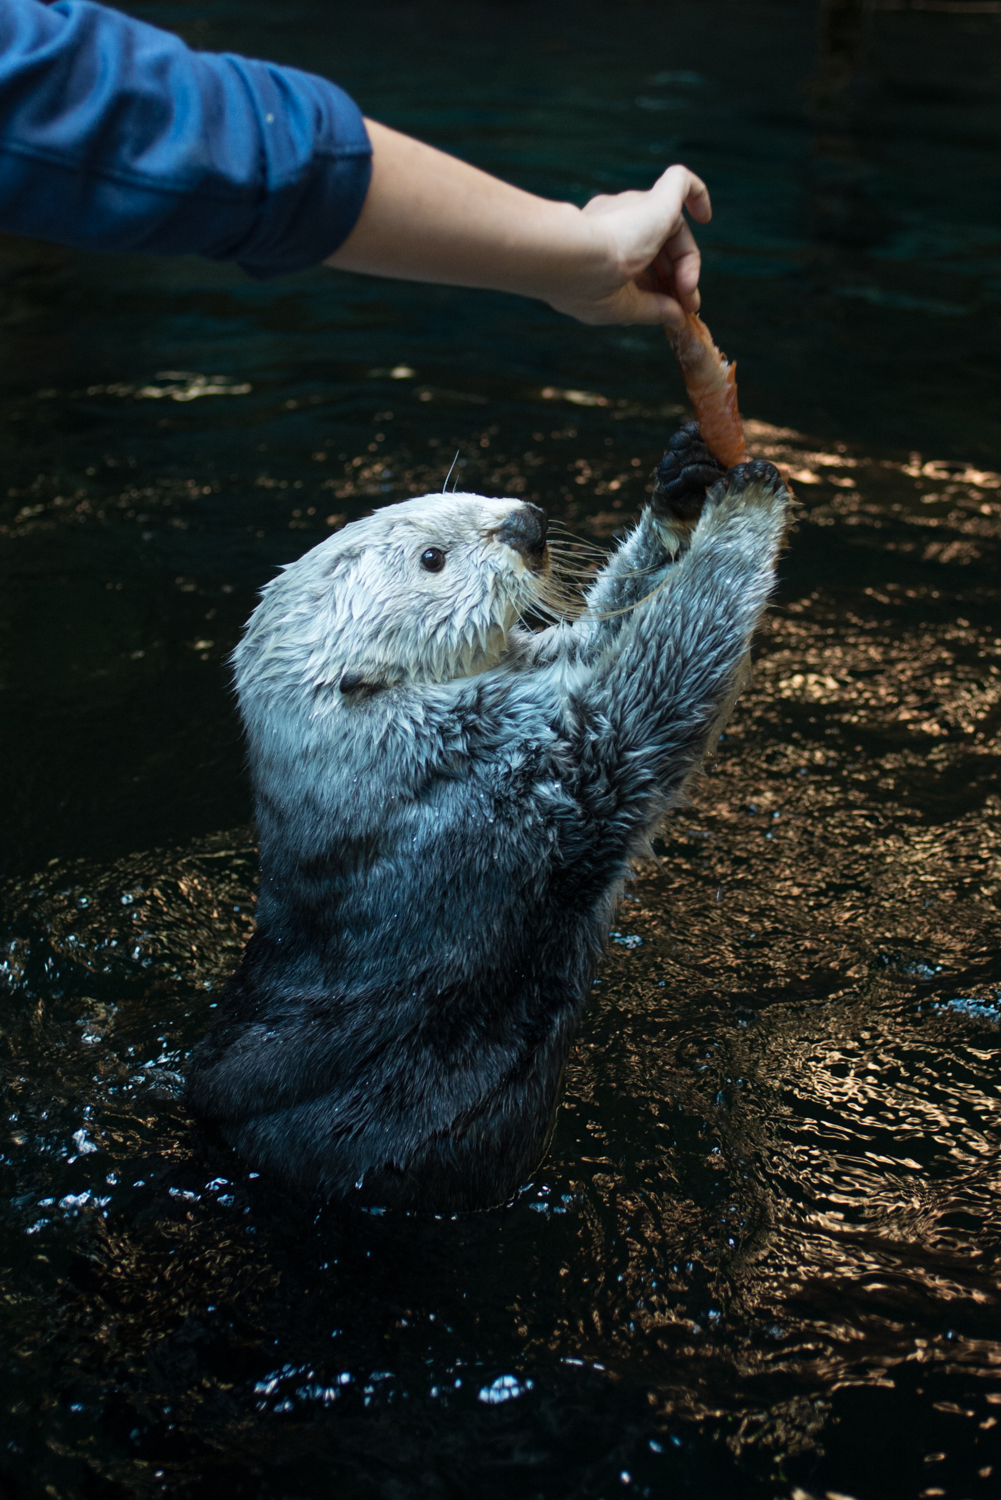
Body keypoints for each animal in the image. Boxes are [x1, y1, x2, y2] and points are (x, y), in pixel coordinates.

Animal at [183, 420, 786, 1206]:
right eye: (431, 559)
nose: (528, 523)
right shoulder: (533, 774)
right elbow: (653, 687)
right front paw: (742, 508)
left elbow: (601, 628)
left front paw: (681, 482)